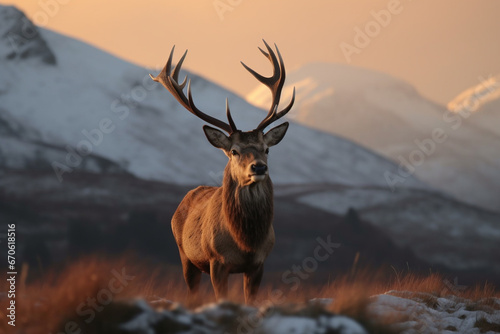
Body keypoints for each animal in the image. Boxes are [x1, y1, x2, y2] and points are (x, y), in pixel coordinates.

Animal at [150, 40, 294, 304]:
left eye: (266, 148)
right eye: (234, 151)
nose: (259, 167)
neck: (246, 242)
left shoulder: (259, 264)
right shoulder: (217, 262)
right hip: (185, 256)